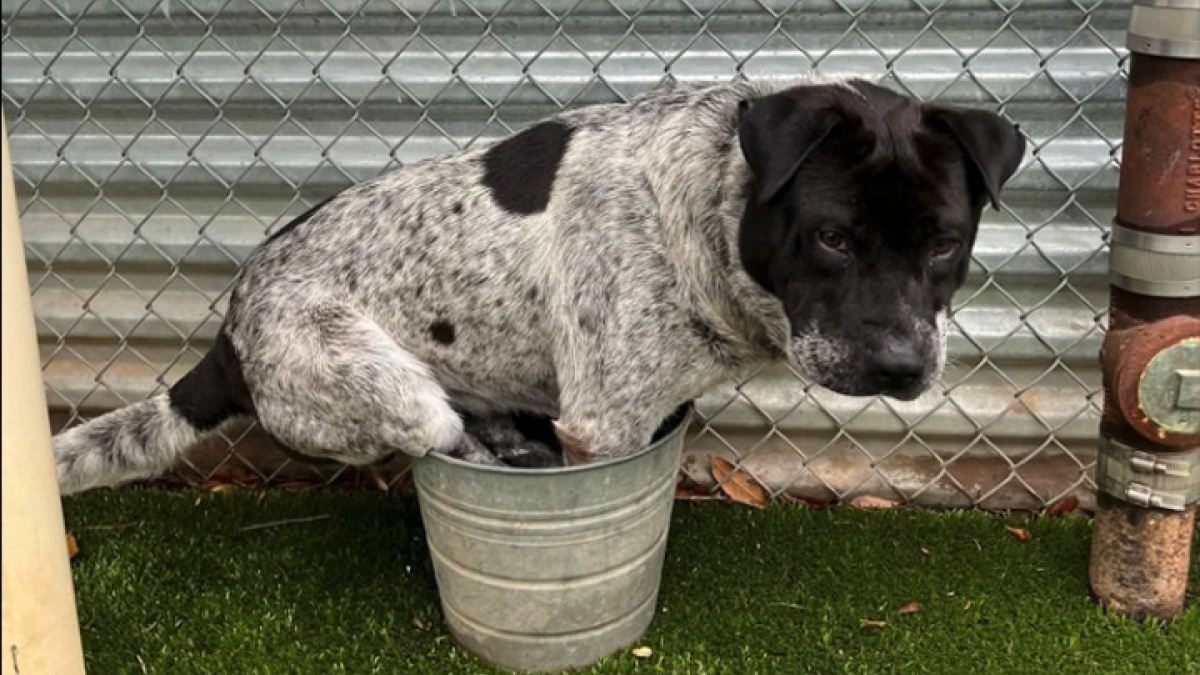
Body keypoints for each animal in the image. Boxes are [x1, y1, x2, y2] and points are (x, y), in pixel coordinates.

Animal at [46, 77, 1022, 494]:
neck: (701, 210)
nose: (900, 366)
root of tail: (226, 339)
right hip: (384, 388)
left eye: (945, 242)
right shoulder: (604, 426)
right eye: (832, 237)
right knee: (437, 436)